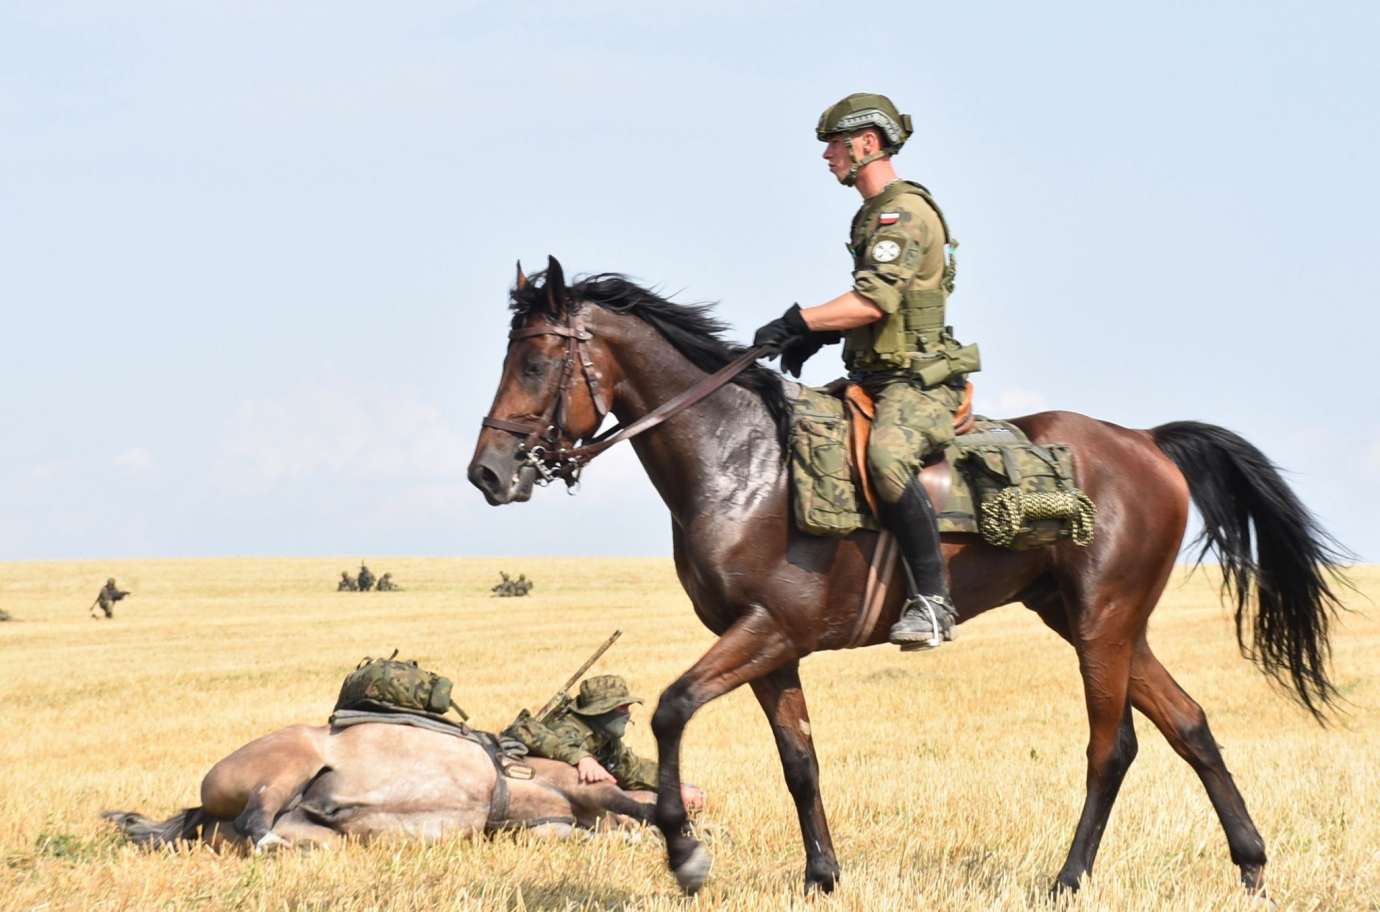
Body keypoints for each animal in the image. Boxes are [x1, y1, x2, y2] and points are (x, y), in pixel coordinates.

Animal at [466, 258, 1346, 894]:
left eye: (536, 361)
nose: (488, 474)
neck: (739, 462)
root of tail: (1146, 441)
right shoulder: (770, 650)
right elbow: (800, 761)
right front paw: (822, 876)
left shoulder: (767, 630)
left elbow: (673, 710)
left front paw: (684, 853)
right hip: (1091, 619)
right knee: (1189, 724)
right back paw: (1251, 865)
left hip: (1103, 621)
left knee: (1114, 745)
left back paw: (1070, 877)